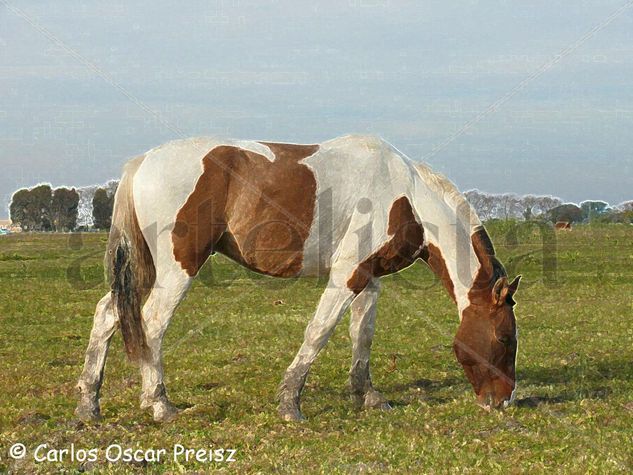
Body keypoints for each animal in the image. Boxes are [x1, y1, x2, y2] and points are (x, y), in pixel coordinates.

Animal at [75, 136, 520, 422]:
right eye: (505, 338)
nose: (502, 401)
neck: (405, 195)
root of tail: (141, 163)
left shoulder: (369, 278)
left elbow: (362, 335)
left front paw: (367, 396)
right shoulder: (347, 273)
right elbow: (318, 332)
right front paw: (290, 404)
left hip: (144, 268)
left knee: (108, 314)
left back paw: (89, 405)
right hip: (177, 268)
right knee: (152, 323)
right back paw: (159, 405)